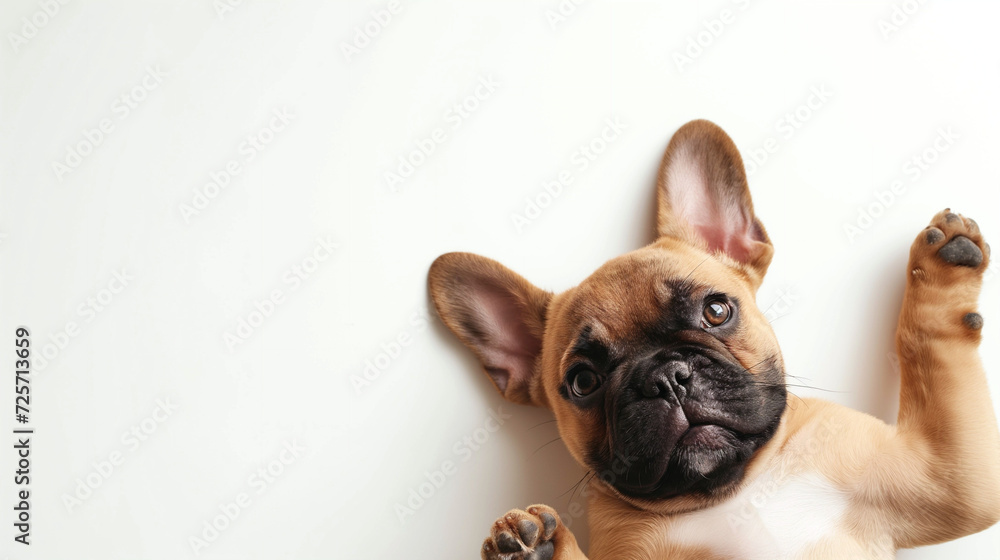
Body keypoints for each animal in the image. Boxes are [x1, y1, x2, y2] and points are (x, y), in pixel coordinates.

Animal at [430, 120, 1000, 556]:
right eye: (583, 382)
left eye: (716, 310)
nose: (665, 377)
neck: (731, 493)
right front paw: (537, 548)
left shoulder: (950, 478)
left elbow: (927, 338)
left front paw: (942, 268)